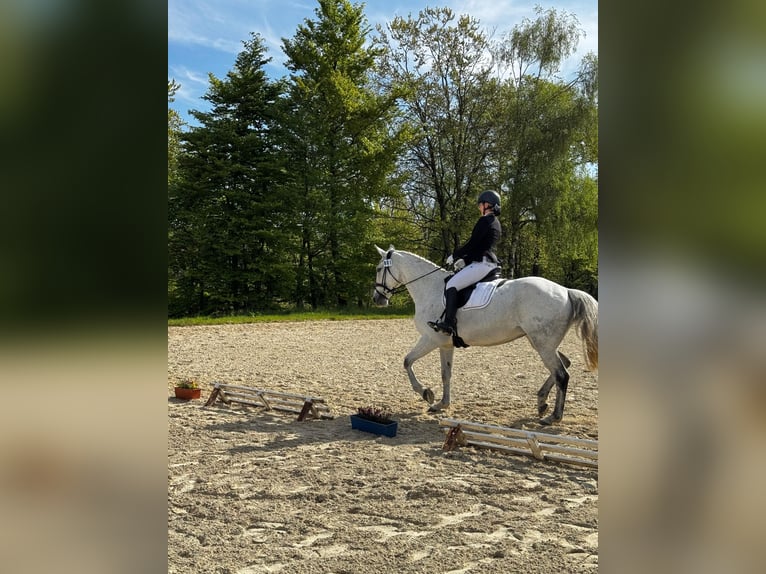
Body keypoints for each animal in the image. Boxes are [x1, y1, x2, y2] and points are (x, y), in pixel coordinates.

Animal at [372, 245, 598, 425]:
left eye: (378, 269)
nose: (377, 299)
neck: (430, 288)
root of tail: (566, 291)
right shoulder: (445, 344)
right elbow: (445, 374)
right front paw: (442, 404)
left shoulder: (430, 339)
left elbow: (407, 361)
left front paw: (426, 393)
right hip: (542, 343)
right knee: (564, 364)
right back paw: (542, 402)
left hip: (543, 344)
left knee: (562, 374)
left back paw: (553, 416)